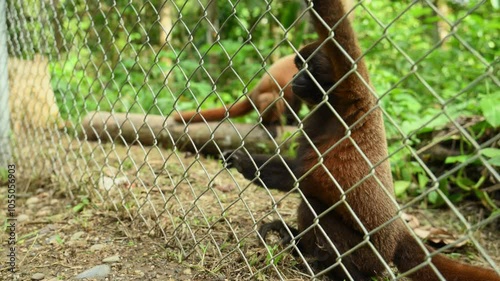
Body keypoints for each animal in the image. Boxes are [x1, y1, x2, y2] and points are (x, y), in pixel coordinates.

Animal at [225, 0, 498, 278]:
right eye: (298, 67)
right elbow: (299, 172)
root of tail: (398, 235)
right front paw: (241, 160)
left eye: (307, 68)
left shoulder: (353, 84)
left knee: (314, 207)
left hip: (368, 256)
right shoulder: (319, 114)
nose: (294, 78)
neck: (334, 102)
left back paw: (335, 267)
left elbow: (337, 28)